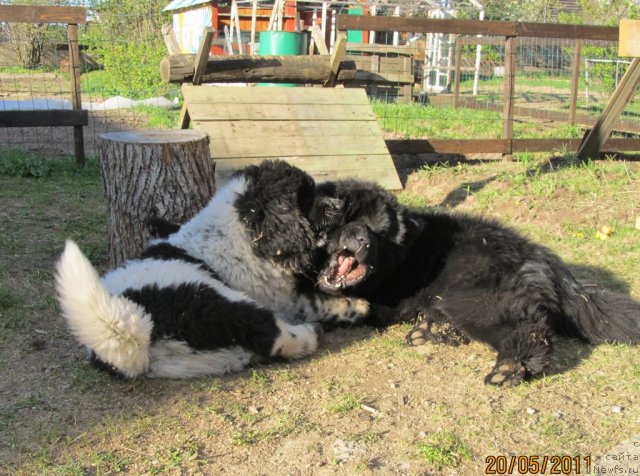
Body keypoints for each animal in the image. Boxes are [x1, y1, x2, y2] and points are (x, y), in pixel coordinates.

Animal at [57, 162, 368, 378]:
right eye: (305, 197)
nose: (340, 204)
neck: (236, 233)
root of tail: (135, 335)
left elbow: (312, 301)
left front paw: (354, 305)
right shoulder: (268, 295)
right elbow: (308, 305)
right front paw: (358, 307)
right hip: (219, 302)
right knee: (271, 334)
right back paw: (309, 334)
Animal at [316, 180, 640, 384]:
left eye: (379, 233)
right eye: (350, 221)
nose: (362, 241)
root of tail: (540, 255)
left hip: (473, 296)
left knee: (529, 327)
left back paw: (509, 366)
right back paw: (432, 330)